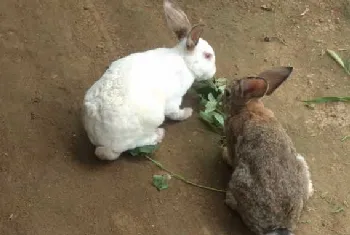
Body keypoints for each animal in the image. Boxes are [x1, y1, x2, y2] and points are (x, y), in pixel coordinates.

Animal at [83, 0, 217, 161]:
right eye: (208, 56)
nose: (214, 72)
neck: (184, 61)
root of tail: (99, 138)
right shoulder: (173, 100)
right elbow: (175, 112)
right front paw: (187, 113)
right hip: (152, 120)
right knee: (133, 144)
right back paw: (159, 135)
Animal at [223, 67, 314, 235]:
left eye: (227, 93)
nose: (221, 98)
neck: (248, 107)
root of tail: (279, 225)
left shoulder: (232, 136)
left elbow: (231, 155)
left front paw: (224, 153)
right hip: (300, 161)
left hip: (240, 178)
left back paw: (230, 198)